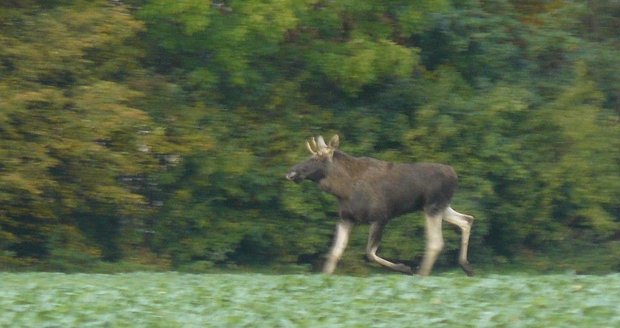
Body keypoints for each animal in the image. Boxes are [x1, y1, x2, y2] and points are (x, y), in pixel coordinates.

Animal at [286, 135, 474, 276]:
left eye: (316, 158)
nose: (291, 173)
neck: (343, 190)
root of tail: (454, 175)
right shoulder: (346, 219)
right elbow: (334, 253)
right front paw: (325, 277)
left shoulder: (380, 217)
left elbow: (369, 253)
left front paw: (404, 268)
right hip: (441, 206)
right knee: (467, 219)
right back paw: (467, 267)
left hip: (432, 206)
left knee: (436, 241)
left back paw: (422, 275)